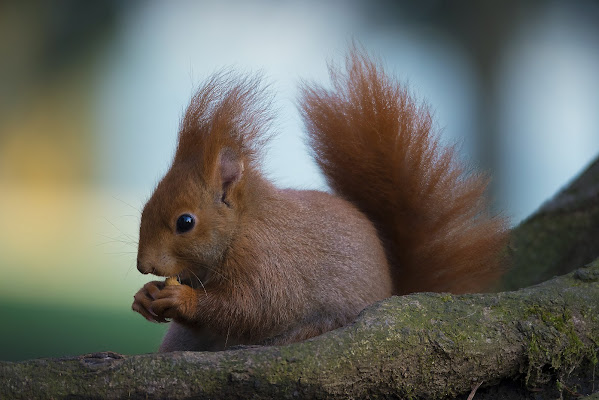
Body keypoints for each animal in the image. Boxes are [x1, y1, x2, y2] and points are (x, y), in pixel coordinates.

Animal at [132, 48, 510, 352]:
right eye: (144, 209)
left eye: (185, 222)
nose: (143, 265)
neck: (241, 228)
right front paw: (146, 295)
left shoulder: (268, 262)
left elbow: (253, 309)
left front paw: (181, 297)